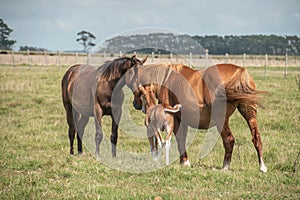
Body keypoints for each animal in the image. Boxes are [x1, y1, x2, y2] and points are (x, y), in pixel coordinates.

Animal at [125, 63, 268, 173]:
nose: (136, 104)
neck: (166, 79)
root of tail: (240, 72)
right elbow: (182, 139)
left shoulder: (176, 120)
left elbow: (179, 139)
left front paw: (184, 162)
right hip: (249, 112)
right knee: (256, 137)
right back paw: (262, 167)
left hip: (221, 120)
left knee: (229, 140)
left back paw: (225, 167)